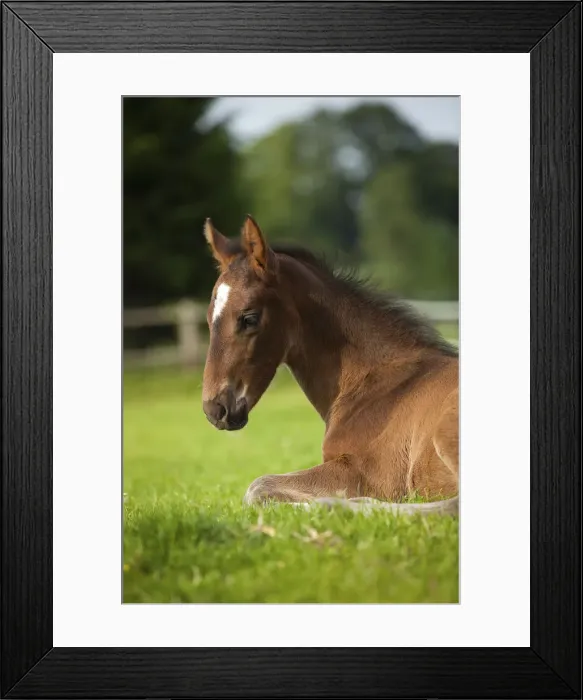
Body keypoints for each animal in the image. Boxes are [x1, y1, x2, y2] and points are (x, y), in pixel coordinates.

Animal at [202, 215, 459, 516]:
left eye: (249, 318)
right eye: (209, 318)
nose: (214, 409)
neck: (377, 384)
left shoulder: (370, 475)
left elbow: (257, 486)